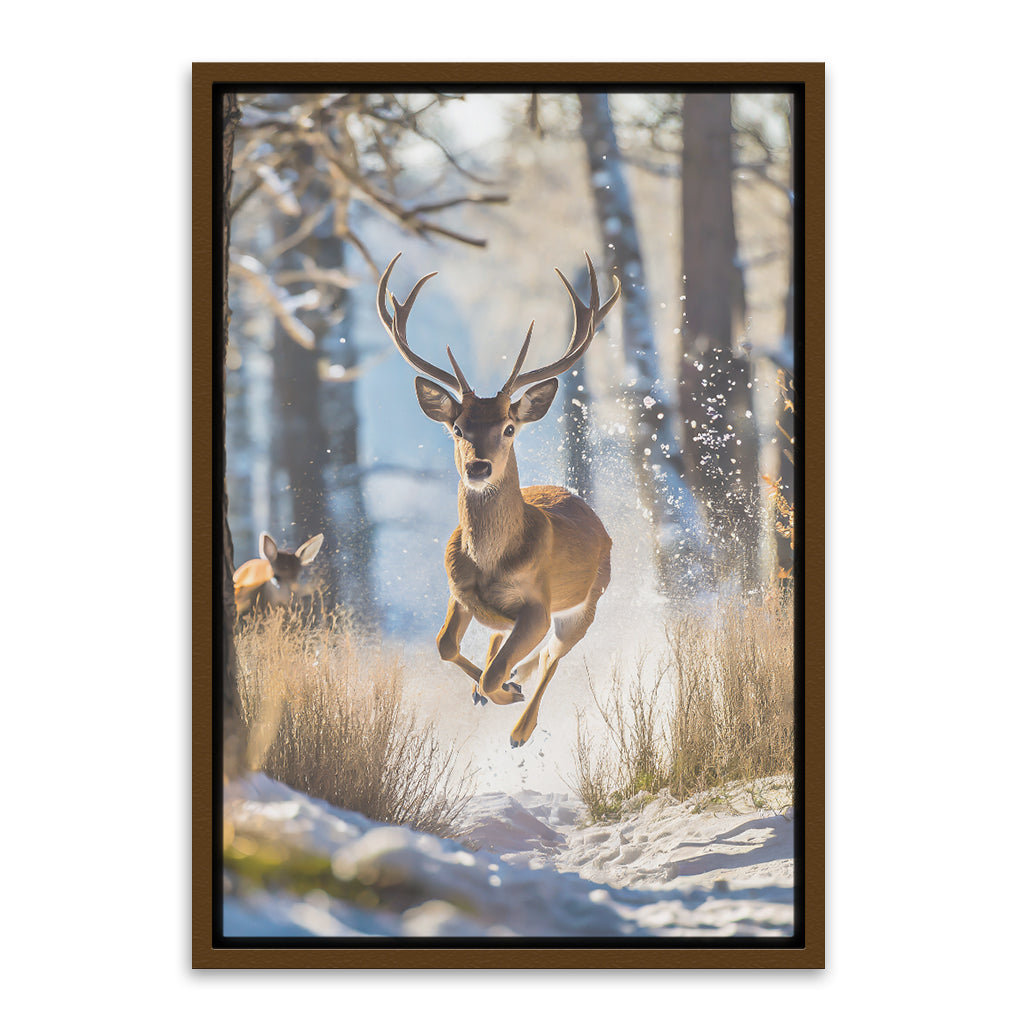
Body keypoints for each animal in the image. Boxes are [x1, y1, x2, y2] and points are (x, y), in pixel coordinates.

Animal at [377, 251, 620, 747]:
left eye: (508, 427)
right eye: (457, 428)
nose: (478, 467)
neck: (491, 562)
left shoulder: (539, 605)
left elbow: (501, 666)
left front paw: (504, 693)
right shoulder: (458, 590)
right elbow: (444, 645)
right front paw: (491, 686)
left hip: (586, 603)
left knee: (551, 656)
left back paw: (520, 726)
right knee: (512, 648)